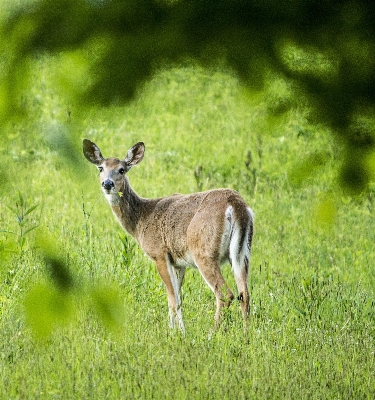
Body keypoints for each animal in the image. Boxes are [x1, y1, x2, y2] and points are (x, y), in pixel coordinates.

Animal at [83, 139, 256, 332]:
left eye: (122, 169)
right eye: (100, 168)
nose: (107, 183)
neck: (141, 219)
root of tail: (236, 205)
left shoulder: (159, 254)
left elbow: (172, 300)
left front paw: (177, 333)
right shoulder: (179, 263)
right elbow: (178, 299)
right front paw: (177, 330)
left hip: (203, 251)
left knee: (226, 294)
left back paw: (212, 333)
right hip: (242, 252)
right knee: (245, 293)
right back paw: (246, 333)